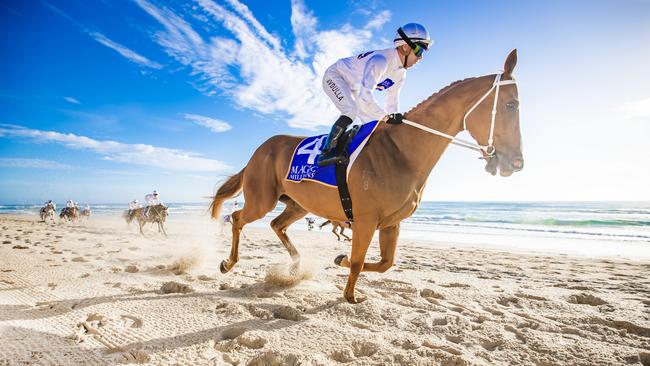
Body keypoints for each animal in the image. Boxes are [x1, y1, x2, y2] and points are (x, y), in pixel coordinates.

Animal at [211, 50, 520, 304]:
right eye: (511, 105)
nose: (517, 162)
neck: (402, 151)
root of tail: (259, 150)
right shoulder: (365, 220)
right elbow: (360, 260)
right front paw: (350, 294)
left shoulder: (391, 223)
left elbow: (385, 263)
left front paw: (341, 259)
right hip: (261, 199)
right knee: (237, 218)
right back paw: (229, 262)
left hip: (298, 204)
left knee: (277, 225)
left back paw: (296, 265)